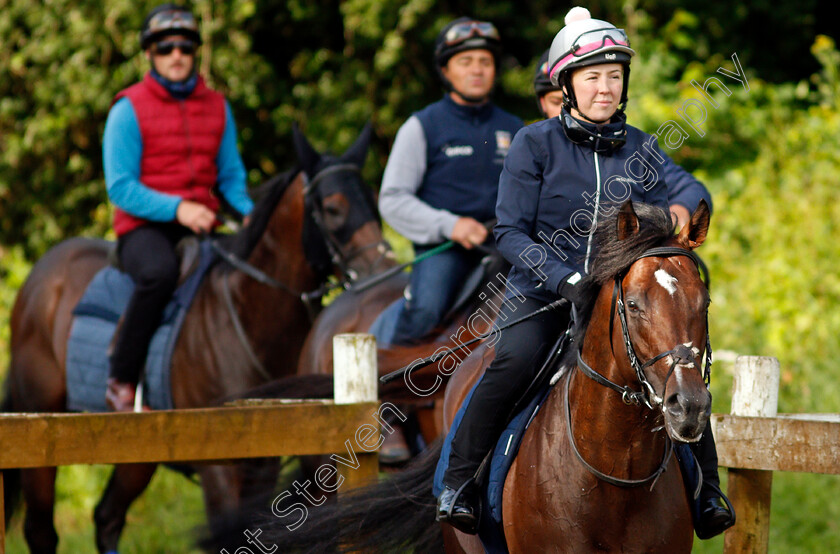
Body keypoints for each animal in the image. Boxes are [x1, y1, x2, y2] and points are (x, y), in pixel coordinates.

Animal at [1, 123, 388, 548]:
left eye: (374, 202)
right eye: (333, 208)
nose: (383, 269)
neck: (244, 317)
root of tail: (38, 280)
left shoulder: (263, 462)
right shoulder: (217, 464)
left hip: (134, 448)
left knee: (107, 517)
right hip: (40, 431)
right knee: (42, 531)